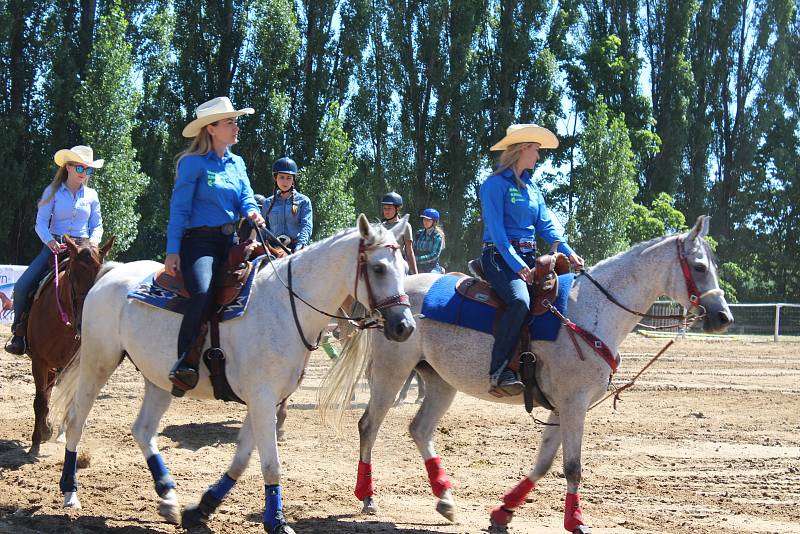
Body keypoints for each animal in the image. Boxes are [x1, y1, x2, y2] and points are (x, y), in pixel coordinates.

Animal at [25, 237, 113, 454]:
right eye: (73, 274)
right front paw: (36, 442)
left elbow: (69, 398)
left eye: (100, 276)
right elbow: (40, 400)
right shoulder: (39, 361)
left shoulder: (74, 365)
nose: (84, 321)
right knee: (46, 394)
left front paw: (61, 433)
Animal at [53, 216, 416, 534]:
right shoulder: (262, 398)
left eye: (405, 269)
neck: (285, 306)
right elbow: (271, 464)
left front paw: (202, 508)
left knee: (142, 430)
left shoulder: (266, 401)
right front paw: (277, 522)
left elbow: (243, 459)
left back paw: (168, 496)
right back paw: (70, 491)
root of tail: (110, 274)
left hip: (159, 380)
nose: (405, 326)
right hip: (98, 361)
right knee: (75, 419)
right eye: (378, 268)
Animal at [318, 216, 732, 532]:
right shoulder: (574, 404)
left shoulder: (563, 406)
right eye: (698, 267)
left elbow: (545, 462)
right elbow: (572, 466)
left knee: (419, 429)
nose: (723, 317)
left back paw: (445, 499)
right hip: (392, 374)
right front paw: (576, 522)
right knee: (369, 425)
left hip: (439, 381)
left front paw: (502, 513)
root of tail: (395, 300)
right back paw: (368, 496)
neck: (590, 311)